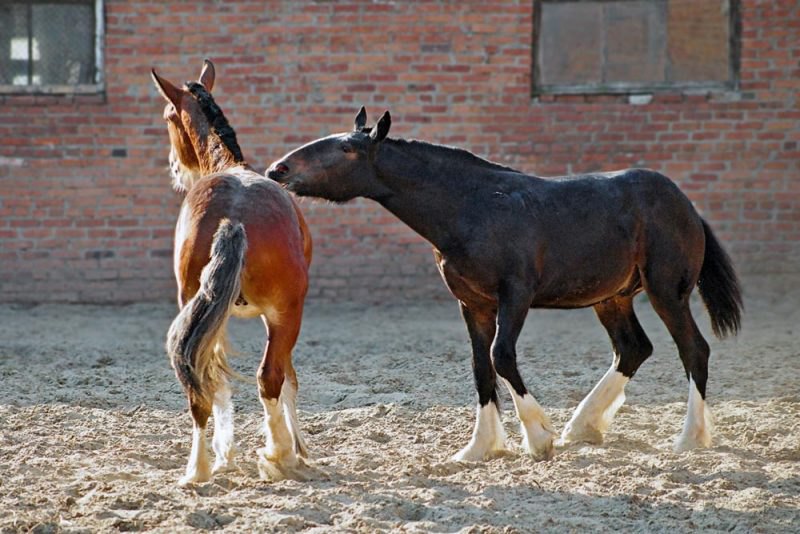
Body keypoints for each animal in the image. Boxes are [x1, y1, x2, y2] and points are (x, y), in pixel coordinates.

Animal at [150, 59, 312, 486]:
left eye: (168, 115)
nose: (174, 167)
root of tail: (234, 219)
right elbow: (287, 379)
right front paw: (297, 449)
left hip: (200, 309)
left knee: (202, 384)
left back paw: (198, 468)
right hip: (285, 315)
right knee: (269, 377)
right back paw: (277, 455)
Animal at [268, 110, 744, 464]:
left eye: (347, 148)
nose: (279, 169)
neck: (473, 206)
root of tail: (687, 205)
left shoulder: (515, 295)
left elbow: (501, 355)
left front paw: (538, 437)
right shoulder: (472, 304)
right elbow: (481, 365)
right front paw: (480, 447)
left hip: (667, 293)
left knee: (694, 350)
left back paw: (688, 439)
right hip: (612, 298)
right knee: (633, 349)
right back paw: (583, 427)